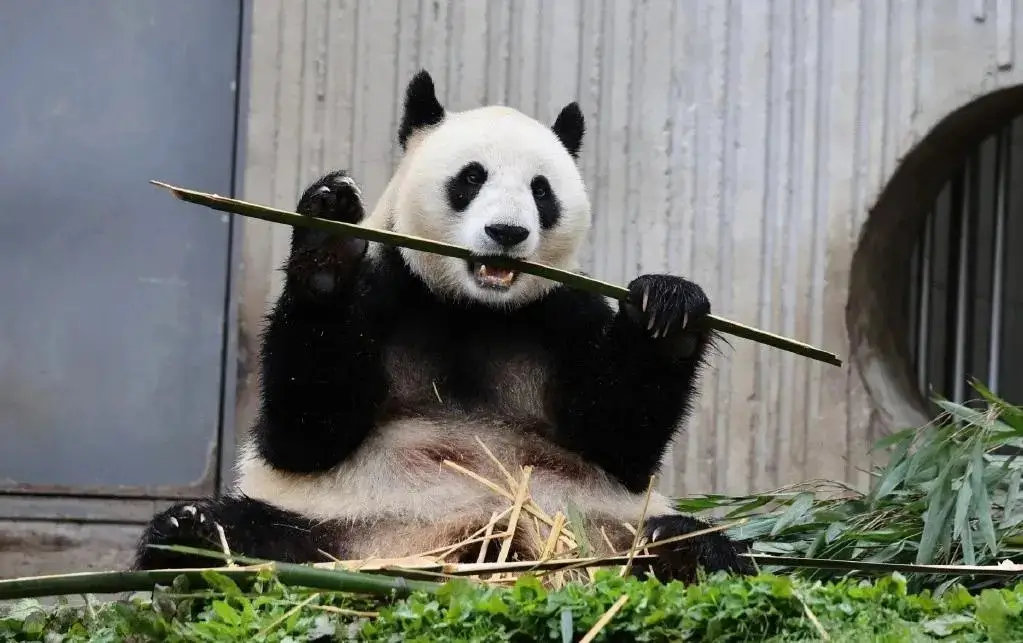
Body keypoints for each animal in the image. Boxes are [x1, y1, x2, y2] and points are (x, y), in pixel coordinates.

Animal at [132, 69, 754, 584]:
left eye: (541, 190)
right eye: (471, 178)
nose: (507, 233)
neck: (472, 308)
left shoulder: (565, 314)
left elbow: (619, 443)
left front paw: (667, 311)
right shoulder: (388, 289)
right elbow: (303, 434)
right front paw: (329, 239)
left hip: (600, 527)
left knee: (712, 543)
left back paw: (680, 556)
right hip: (340, 528)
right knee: (235, 535)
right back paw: (190, 535)